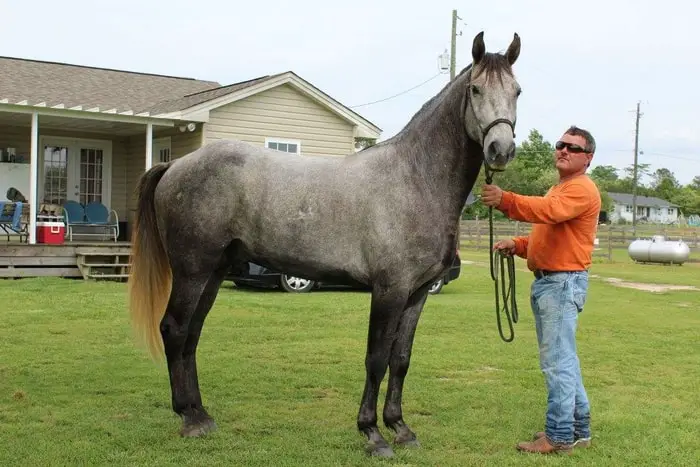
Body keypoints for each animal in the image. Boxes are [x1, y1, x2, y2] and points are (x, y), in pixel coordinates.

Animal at [129, 31, 520, 458]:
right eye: (476, 89)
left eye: (517, 90)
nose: (500, 149)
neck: (414, 179)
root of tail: (175, 165)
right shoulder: (389, 290)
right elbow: (376, 359)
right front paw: (373, 434)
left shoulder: (417, 293)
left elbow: (401, 359)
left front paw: (401, 428)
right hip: (192, 270)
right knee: (174, 329)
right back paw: (189, 419)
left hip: (213, 273)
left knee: (192, 335)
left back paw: (200, 414)